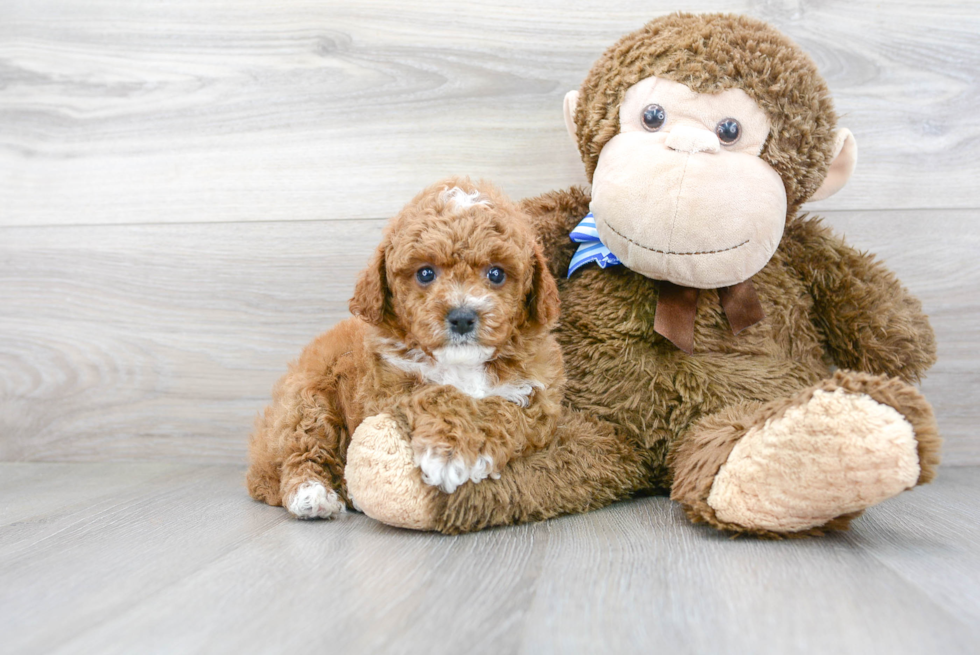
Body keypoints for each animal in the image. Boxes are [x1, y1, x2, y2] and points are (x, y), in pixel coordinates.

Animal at [245, 177, 564, 520]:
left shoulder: (537, 397)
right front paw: (449, 451)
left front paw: (460, 451)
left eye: (496, 273)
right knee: (302, 445)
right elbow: (440, 394)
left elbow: (501, 409)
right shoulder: (387, 387)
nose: (462, 317)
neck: (461, 365)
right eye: (425, 273)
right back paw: (312, 494)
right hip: (307, 400)